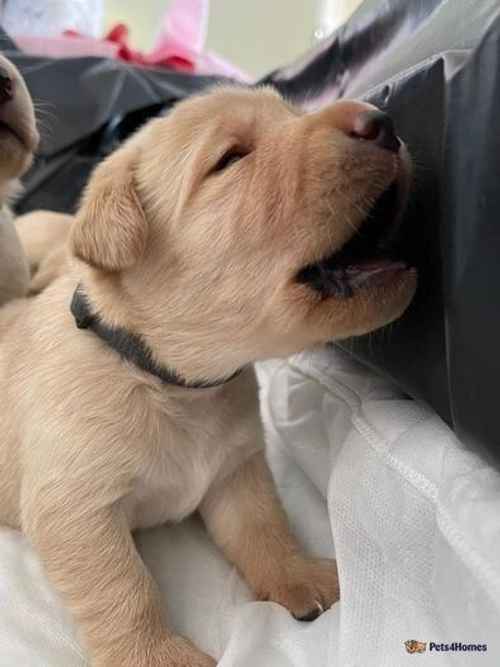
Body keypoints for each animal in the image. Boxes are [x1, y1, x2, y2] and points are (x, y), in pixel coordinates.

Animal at [0, 86, 416, 664]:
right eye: (230, 158)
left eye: (292, 112)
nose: (382, 120)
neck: (166, 380)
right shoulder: (75, 508)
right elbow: (123, 587)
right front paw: (154, 653)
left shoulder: (236, 471)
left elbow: (264, 527)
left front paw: (299, 578)